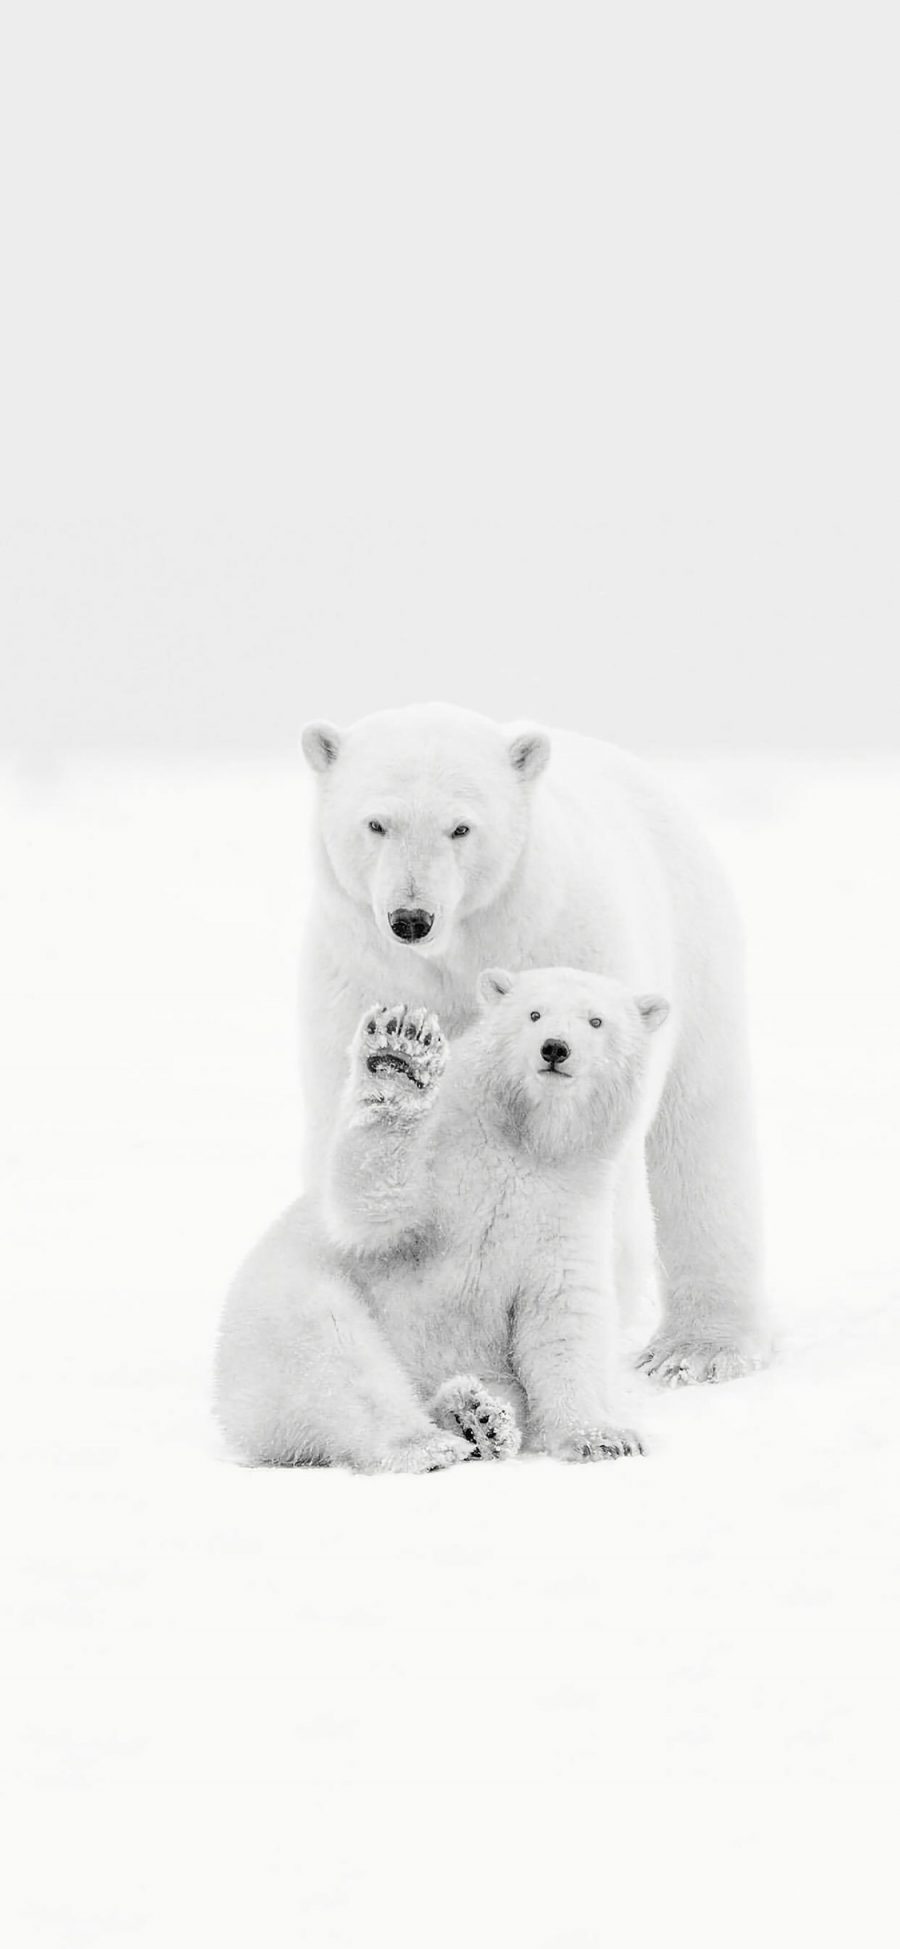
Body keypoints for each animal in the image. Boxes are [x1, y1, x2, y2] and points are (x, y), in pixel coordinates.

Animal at [216, 966, 666, 1465]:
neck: (523, 1141)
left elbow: (562, 1319)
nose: (554, 1048)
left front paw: (603, 1437)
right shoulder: (445, 1160)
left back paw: (477, 1418)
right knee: (336, 1354)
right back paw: (424, 1442)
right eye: (534, 1013)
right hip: (283, 1317)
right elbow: (372, 1214)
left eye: (596, 1021)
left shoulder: (565, 1207)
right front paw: (400, 1061)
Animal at [298, 701, 771, 1387]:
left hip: (697, 950)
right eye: (376, 823)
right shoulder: (359, 975)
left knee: (701, 1133)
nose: (411, 919)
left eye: (461, 827)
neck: (456, 955)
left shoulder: (569, 946)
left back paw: (699, 1348)